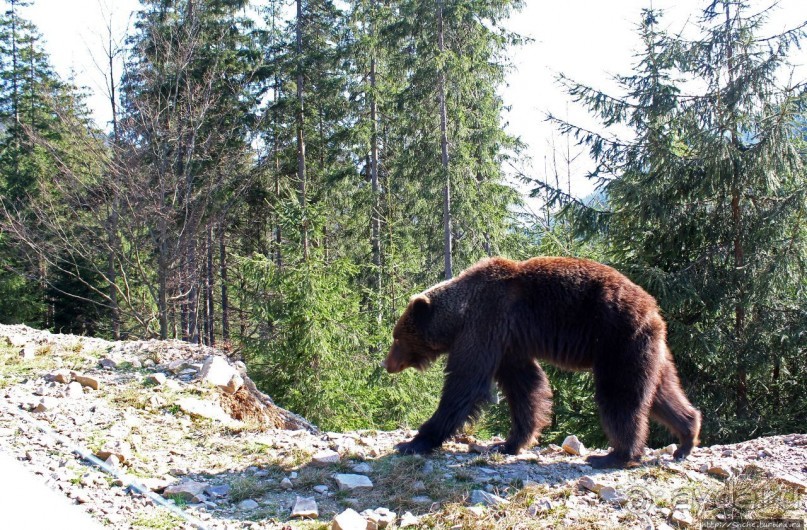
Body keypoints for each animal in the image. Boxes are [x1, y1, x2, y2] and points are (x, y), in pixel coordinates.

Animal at [386, 256, 700, 466]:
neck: (460, 314)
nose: (387, 364)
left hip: (618, 341)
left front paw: (414, 441)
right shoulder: (509, 343)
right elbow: (525, 387)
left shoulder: (487, 322)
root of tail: (654, 309)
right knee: (662, 393)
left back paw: (617, 455)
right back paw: (685, 438)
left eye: (397, 337)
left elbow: (466, 383)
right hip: (649, 351)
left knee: (620, 395)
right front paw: (508, 442)